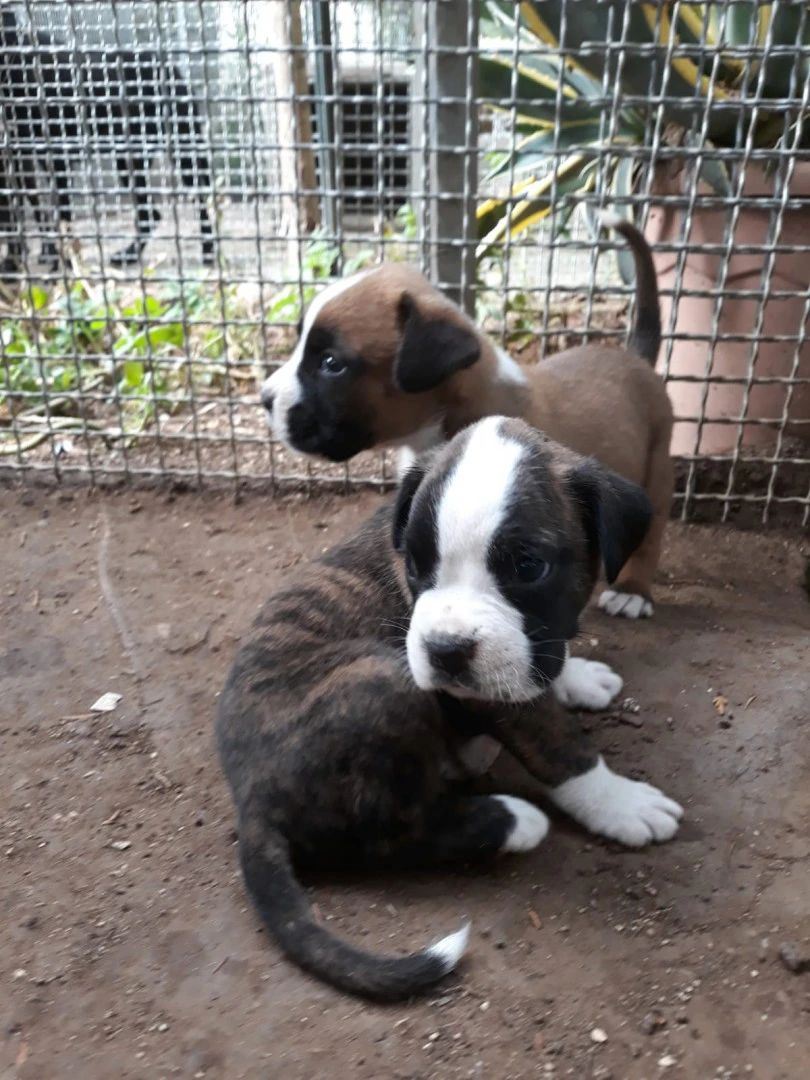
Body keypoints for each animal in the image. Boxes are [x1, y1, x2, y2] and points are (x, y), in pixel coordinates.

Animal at [217, 414, 686, 1002]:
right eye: (416, 565)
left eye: (528, 566)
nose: (444, 650)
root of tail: (251, 801)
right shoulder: (493, 697)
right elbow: (560, 747)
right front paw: (620, 803)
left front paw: (576, 676)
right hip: (384, 683)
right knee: (389, 836)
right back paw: (510, 821)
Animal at [264, 214, 673, 622]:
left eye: (331, 363)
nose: (265, 398)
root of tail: (634, 356)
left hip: (657, 471)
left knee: (651, 536)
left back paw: (633, 590)